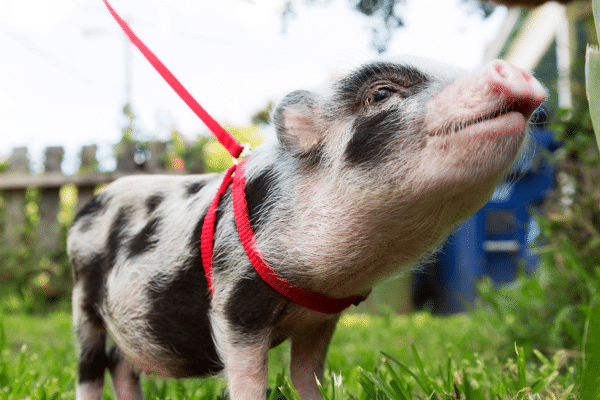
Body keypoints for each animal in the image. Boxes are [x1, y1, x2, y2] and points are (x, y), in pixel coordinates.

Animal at [68, 57, 548, 400]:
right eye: (381, 93)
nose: (512, 68)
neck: (327, 277)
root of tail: (86, 207)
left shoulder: (321, 318)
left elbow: (306, 375)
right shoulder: (235, 301)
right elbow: (248, 379)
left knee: (120, 363)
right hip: (84, 303)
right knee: (91, 367)